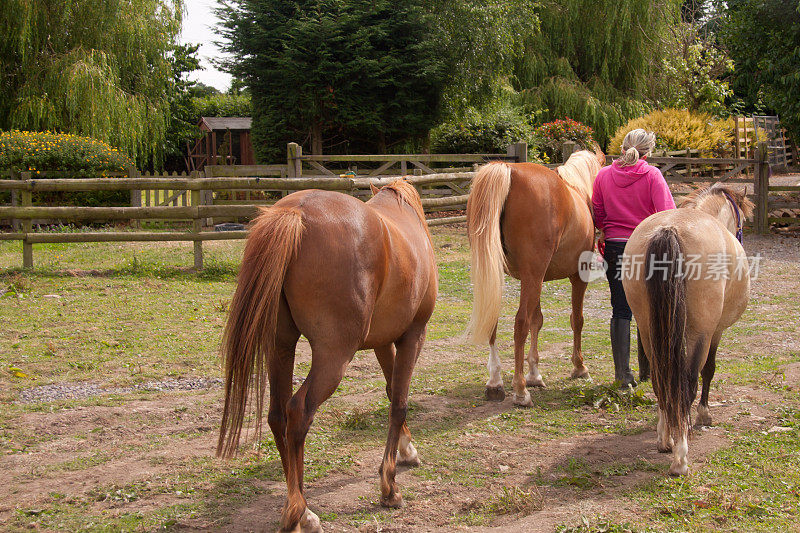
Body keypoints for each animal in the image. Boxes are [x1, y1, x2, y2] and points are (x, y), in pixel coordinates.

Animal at [217, 180, 438, 532]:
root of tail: (295, 212)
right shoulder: (414, 335)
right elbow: (400, 403)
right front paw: (389, 487)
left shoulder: (382, 342)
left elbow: (392, 392)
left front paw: (407, 449)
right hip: (333, 358)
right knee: (298, 413)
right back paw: (300, 512)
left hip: (280, 347)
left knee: (277, 416)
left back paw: (302, 509)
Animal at [466, 152, 604, 406]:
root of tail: (508, 169)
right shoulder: (577, 276)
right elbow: (576, 320)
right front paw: (579, 367)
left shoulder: (534, 278)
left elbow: (537, 321)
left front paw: (534, 374)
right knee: (519, 323)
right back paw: (520, 391)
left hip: (503, 277)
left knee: (494, 320)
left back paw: (495, 382)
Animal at [620, 184, 752, 474]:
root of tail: (670, 229)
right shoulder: (715, 332)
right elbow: (708, 370)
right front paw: (703, 414)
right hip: (699, 332)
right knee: (688, 382)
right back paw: (680, 457)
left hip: (648, 329)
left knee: (660, 380)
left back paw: (665, 438)